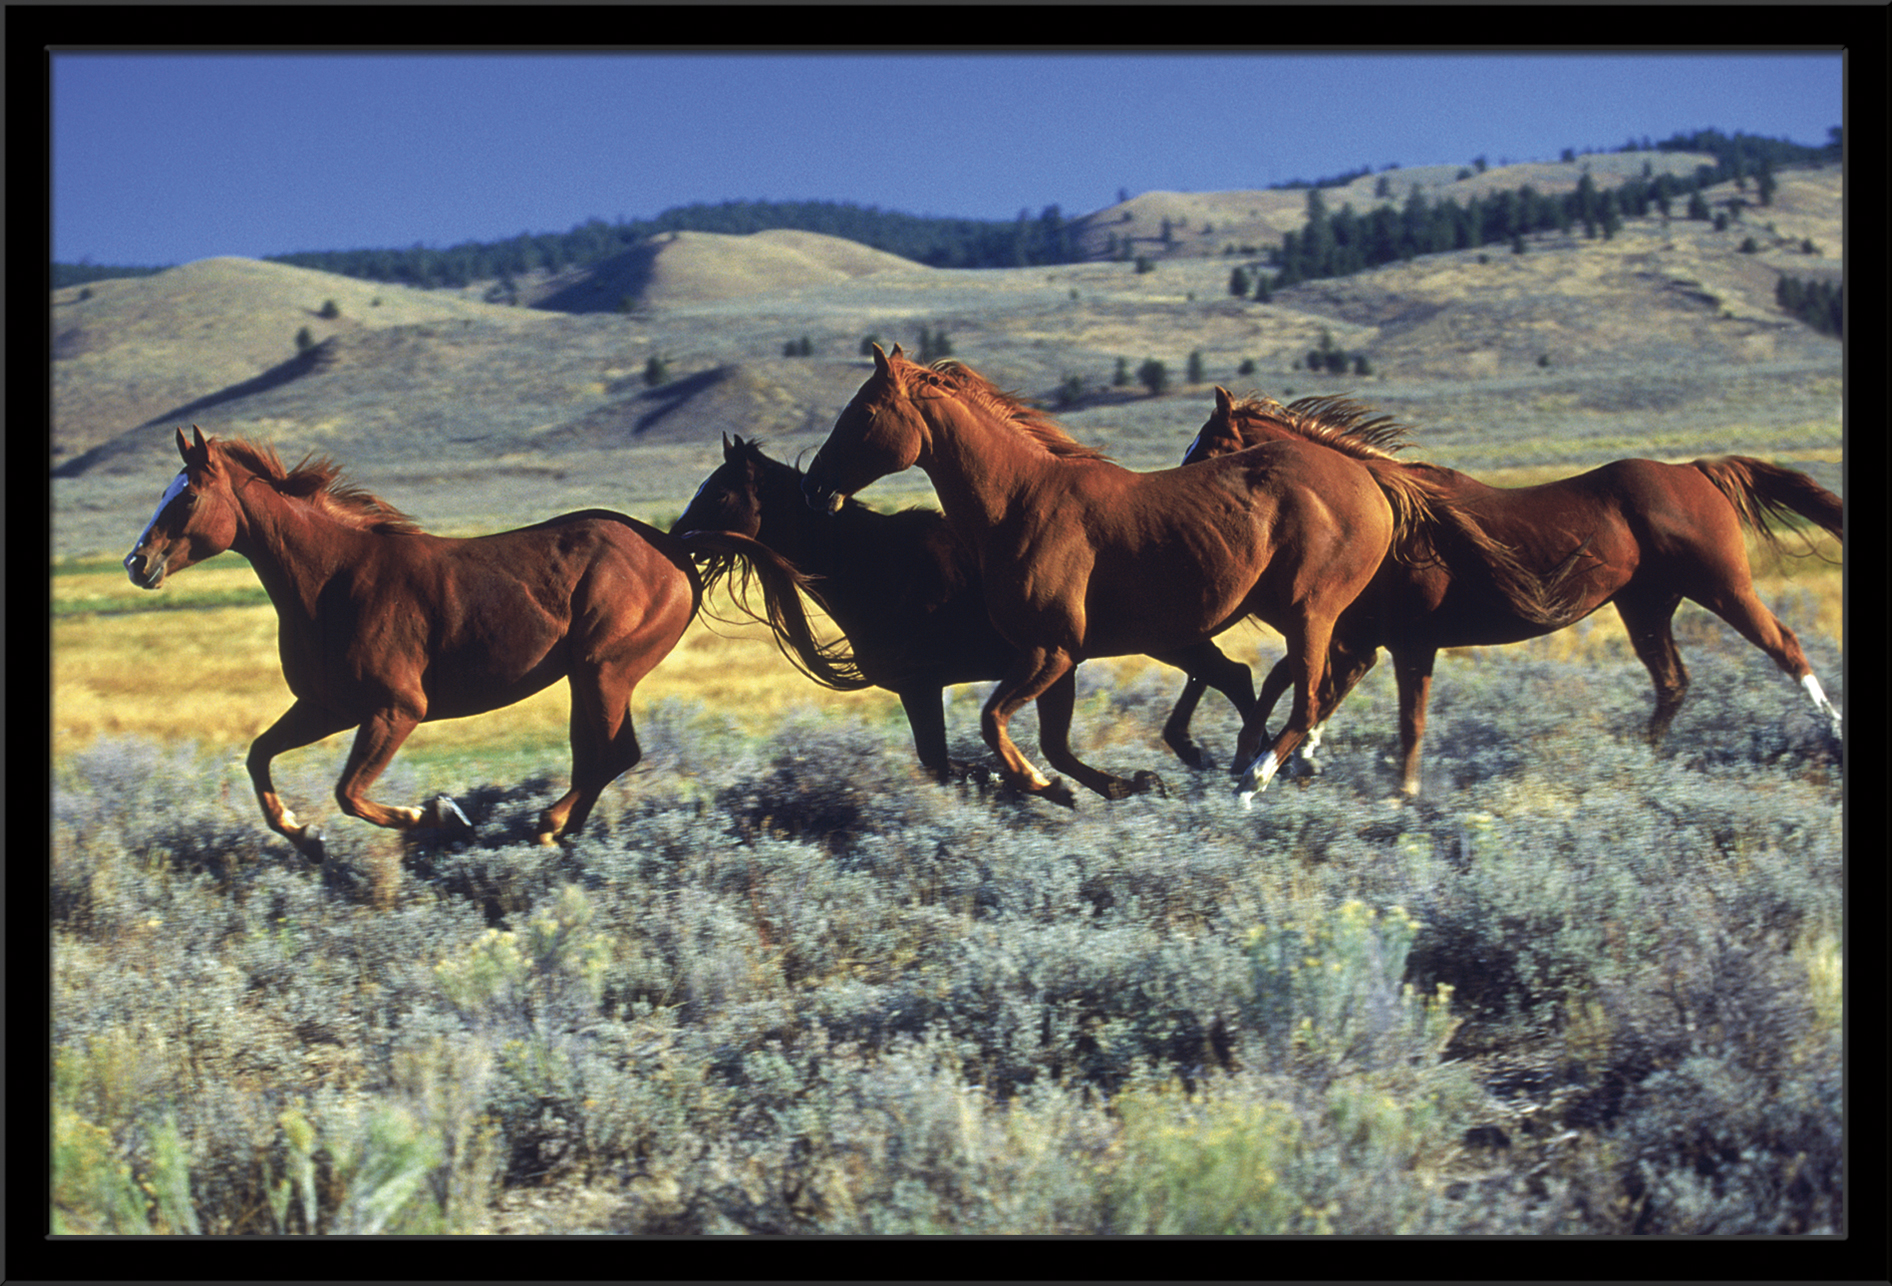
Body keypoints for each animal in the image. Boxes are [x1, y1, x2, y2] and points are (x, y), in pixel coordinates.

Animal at [123, 427, 701, 860]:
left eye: (188, 496)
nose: (137, 563)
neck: (334, 580)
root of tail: (672, 546)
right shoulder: (327, 707)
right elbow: (258, 756)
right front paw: (307, 837)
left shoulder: (396, 709)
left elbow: (349, 793)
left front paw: (442, 814)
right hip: (591, 676)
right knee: (599, 754)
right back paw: (561, 831)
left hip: (605, 669)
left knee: (612, 753)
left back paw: (546, 824)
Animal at [670, 434, 1259, 798]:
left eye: (717, 492)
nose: (675, 541)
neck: (875, 566)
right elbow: (965, 759)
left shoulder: (925, 684)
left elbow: (949, 759)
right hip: (1175, 638)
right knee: (1231, 675)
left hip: (1170, 638)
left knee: (1233, 677)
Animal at [800, 345, 1533, 806]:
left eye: (865, 413)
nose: (816, 486)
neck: (1023, 503)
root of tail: (1371, 478)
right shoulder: (1058, 656)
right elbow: (1043, 737)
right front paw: (1085, 786)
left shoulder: (1049, 650)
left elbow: (993, 722)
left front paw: (1041, 786)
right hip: (1288, 614)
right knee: (1298, 685)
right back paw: (1254, 761)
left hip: (1310, 610)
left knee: (1308, 695)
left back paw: (1254, 776)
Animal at [1172, 386, 1844, 794]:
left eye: (1210, 447)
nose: (1175, 497)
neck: (1395, 516)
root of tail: (1698, 471)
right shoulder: (1360, 637)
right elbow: (1300, 688)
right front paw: (1275, 758)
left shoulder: (1406, 642)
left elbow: (1404, 719)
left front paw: (1397, 795)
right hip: (1646, 605)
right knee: (1673, 682)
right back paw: (1640, 760)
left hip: (1722, 585)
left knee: (1784, 645)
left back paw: (1833, 734)